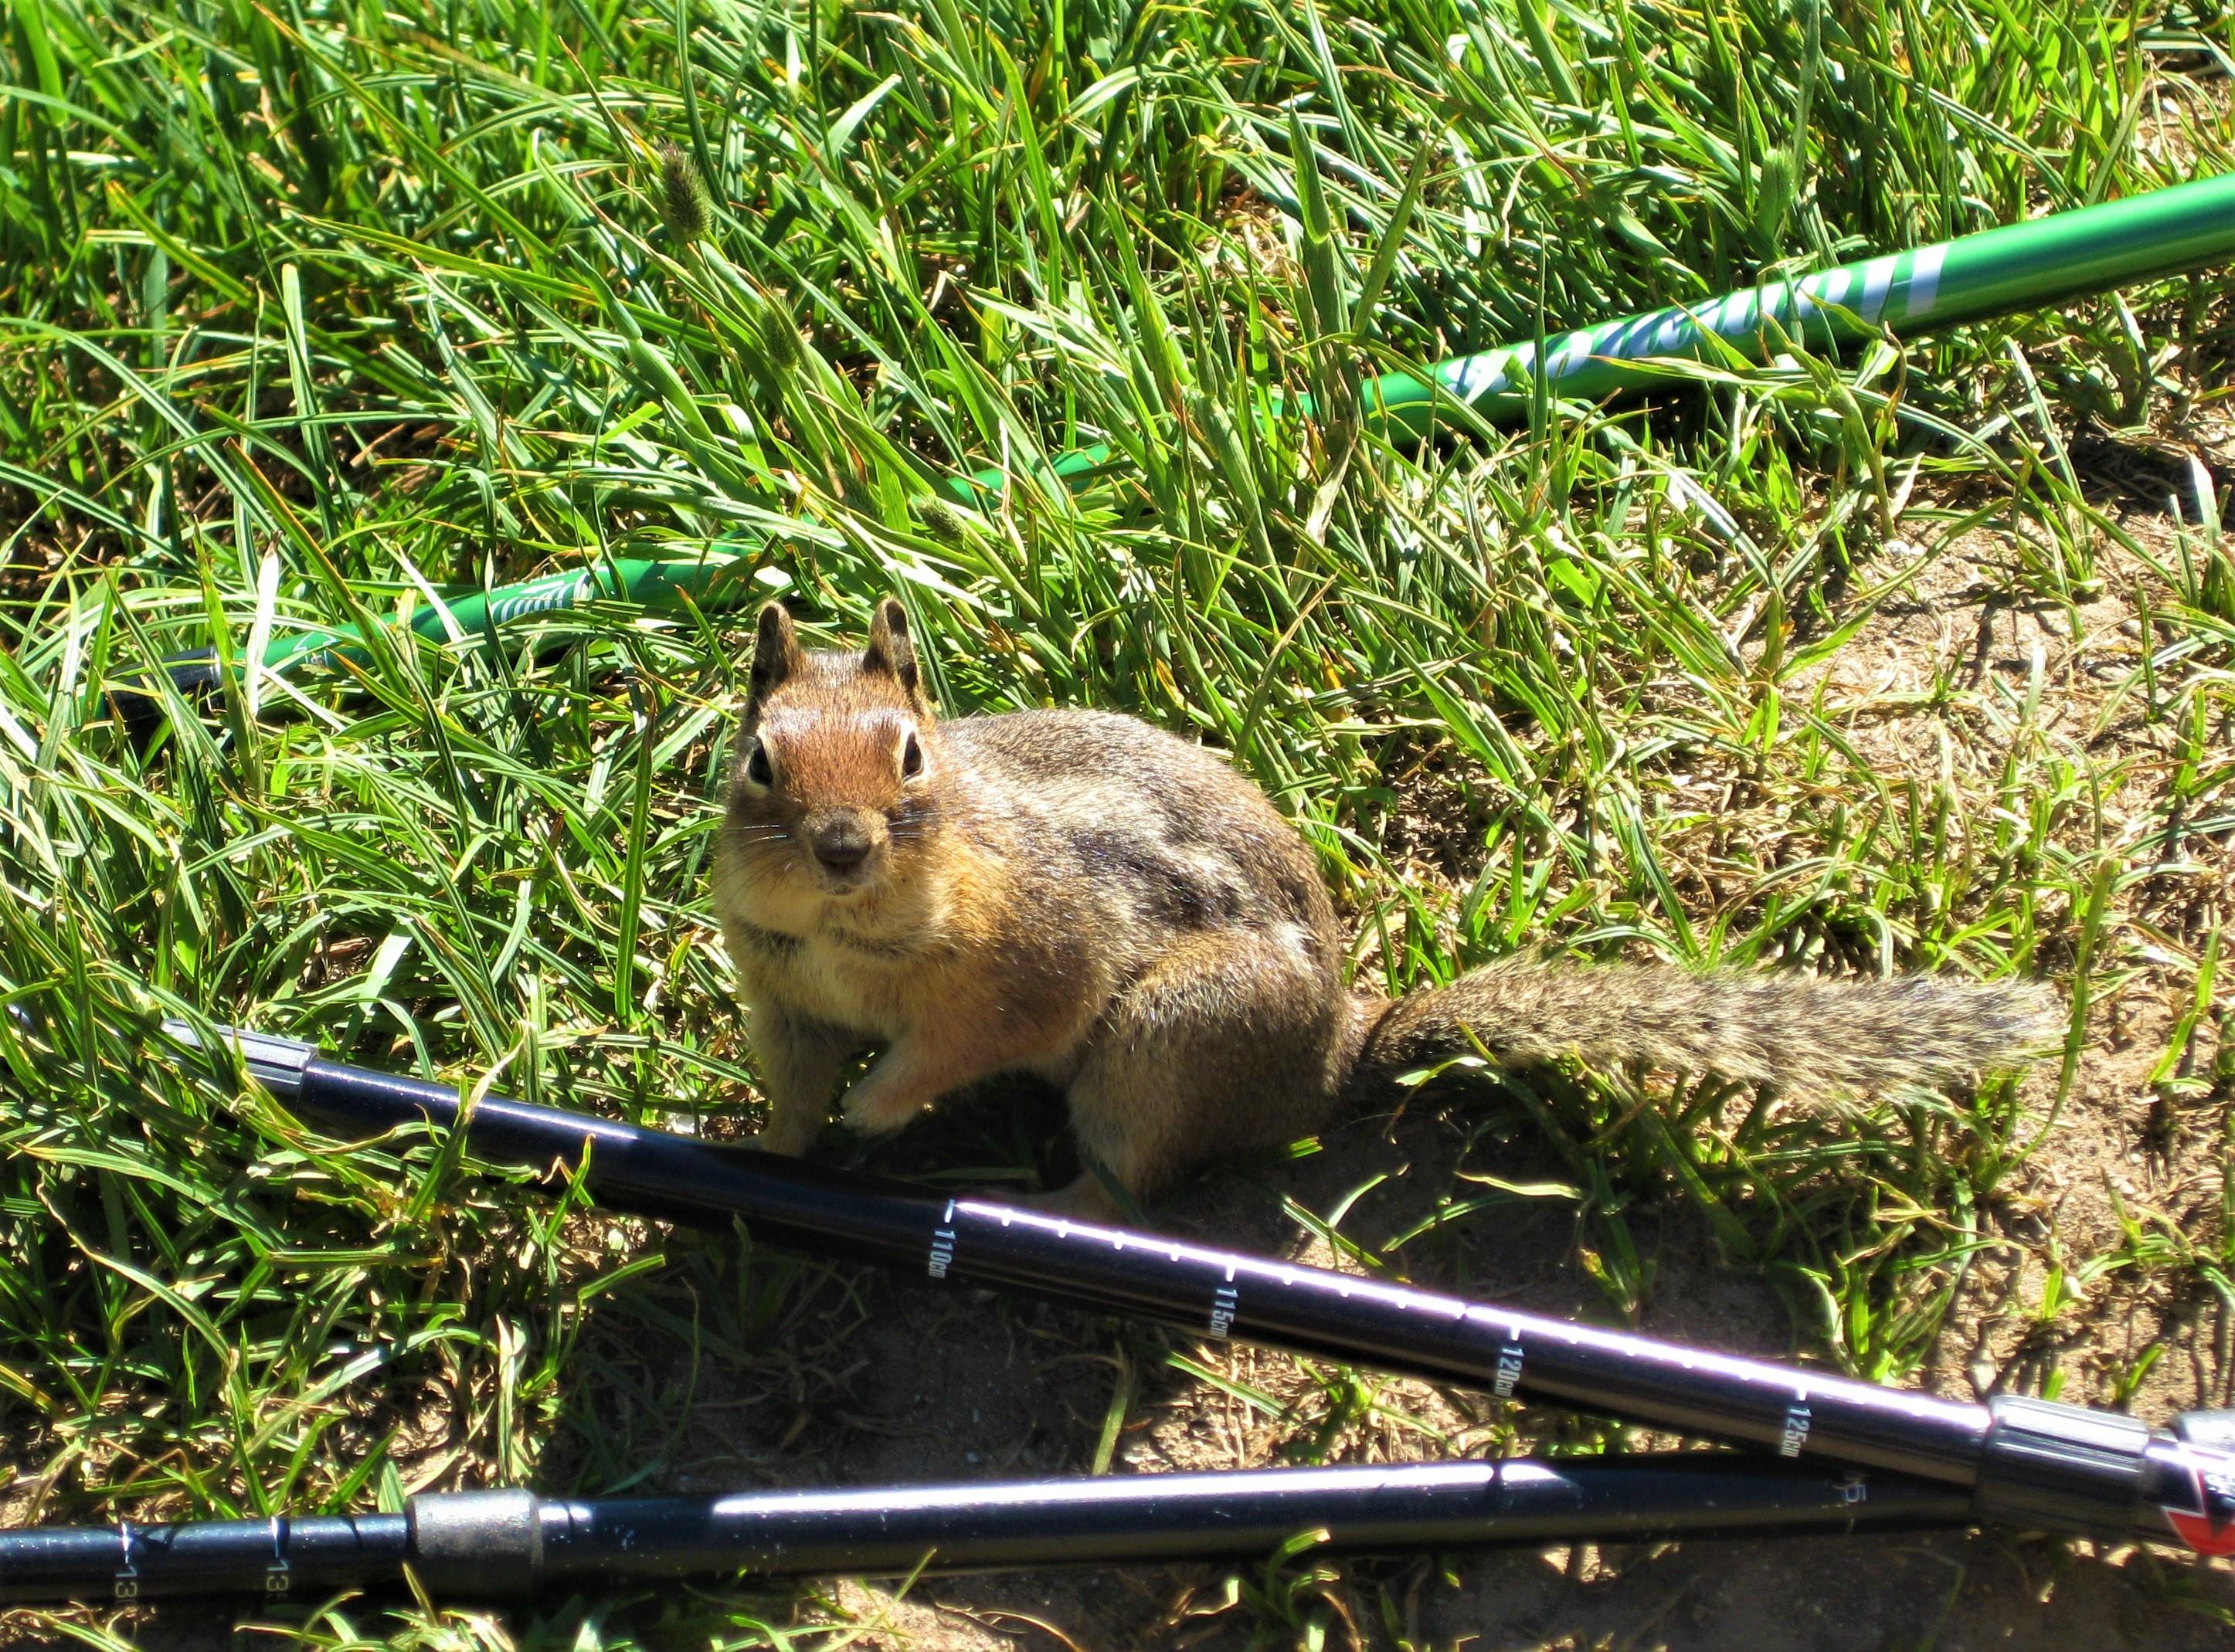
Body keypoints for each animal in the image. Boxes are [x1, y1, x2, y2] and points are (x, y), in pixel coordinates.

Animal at [715, 599, 2056, 1216]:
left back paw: (1024, 1196)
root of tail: (1329, 1061)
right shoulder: (783, 994)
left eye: (910, 756)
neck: (844, 937)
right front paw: (766, 1154)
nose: (841, 846)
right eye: (759, 760)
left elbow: (959, 1040)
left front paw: (882, 1108)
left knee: (1127, 1178)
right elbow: (795, 1085)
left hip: (1159, 1043)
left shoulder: (1026, 958)